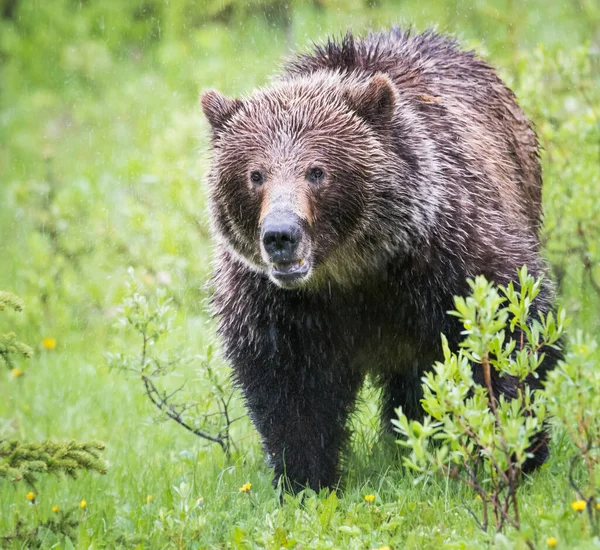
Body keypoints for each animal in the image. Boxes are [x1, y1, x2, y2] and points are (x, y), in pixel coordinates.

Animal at [202, 28, 564, 494]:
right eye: (255, 174)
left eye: (317, 171)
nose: (281, 235)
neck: (354, 269)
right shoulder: (275, 304)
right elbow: (290, 388)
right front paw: (307, 479)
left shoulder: (449, 250)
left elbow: (508, 325)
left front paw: (516, 446)